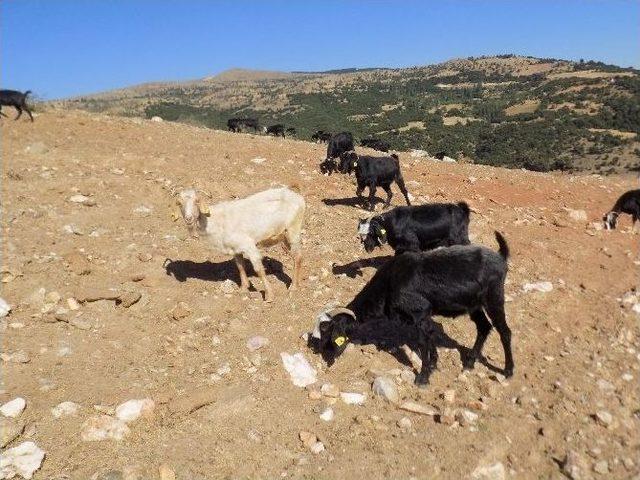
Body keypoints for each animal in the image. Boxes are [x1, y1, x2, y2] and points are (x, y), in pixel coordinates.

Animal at [175, 187, 304, 302]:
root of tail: (298, 197)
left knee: (297, 257)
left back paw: (293, 288)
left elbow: (259, 270)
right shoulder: (235, 249)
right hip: (285, 236)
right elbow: (240, 266)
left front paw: (269, 296)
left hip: (293, 230)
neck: (215, 220)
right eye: (180, 203)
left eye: (197, 201)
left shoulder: (249, 246)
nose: (188, 218)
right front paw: (243, 289)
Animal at [312, 232, 516, 386]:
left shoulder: (420, 314)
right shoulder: (422, 319)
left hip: (494, 298)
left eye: (329, 335)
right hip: (474, 304)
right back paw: (470, 361)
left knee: (504, 331)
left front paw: (423, 377)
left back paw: (507, 370)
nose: (322, 356)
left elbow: (423, 343)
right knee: (484, 327)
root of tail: (501, 257)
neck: (389, 285)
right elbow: (429, 339)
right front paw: (433, 365)